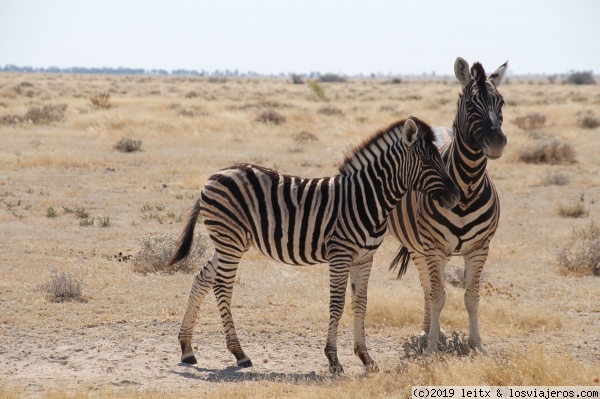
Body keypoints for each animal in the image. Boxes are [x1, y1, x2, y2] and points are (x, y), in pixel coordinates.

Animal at [169, 116, 460, 376]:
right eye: (427, 161)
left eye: (440, 158)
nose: (456, 196)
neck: (368, 199)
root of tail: (215, 175)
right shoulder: (340, 254)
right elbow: (337, 304)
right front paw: (333, 360)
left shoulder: (364, 258)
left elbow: (360, 303)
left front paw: (366, 359)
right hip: (230, 239)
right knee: (222, 287)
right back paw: (239, 353)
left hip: (231, 241)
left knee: (202, 279)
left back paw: (187, 348)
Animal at [390, 57, 506, 354]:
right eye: (470, 104)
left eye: (501, 102)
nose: (496, 143)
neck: (466, 188)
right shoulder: (432, 247)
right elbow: (437, 295)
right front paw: (432, 345)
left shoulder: (479, 248)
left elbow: (472, 297)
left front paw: (476, 344)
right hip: (417, 248)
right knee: (427, 287)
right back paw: (429, 331)